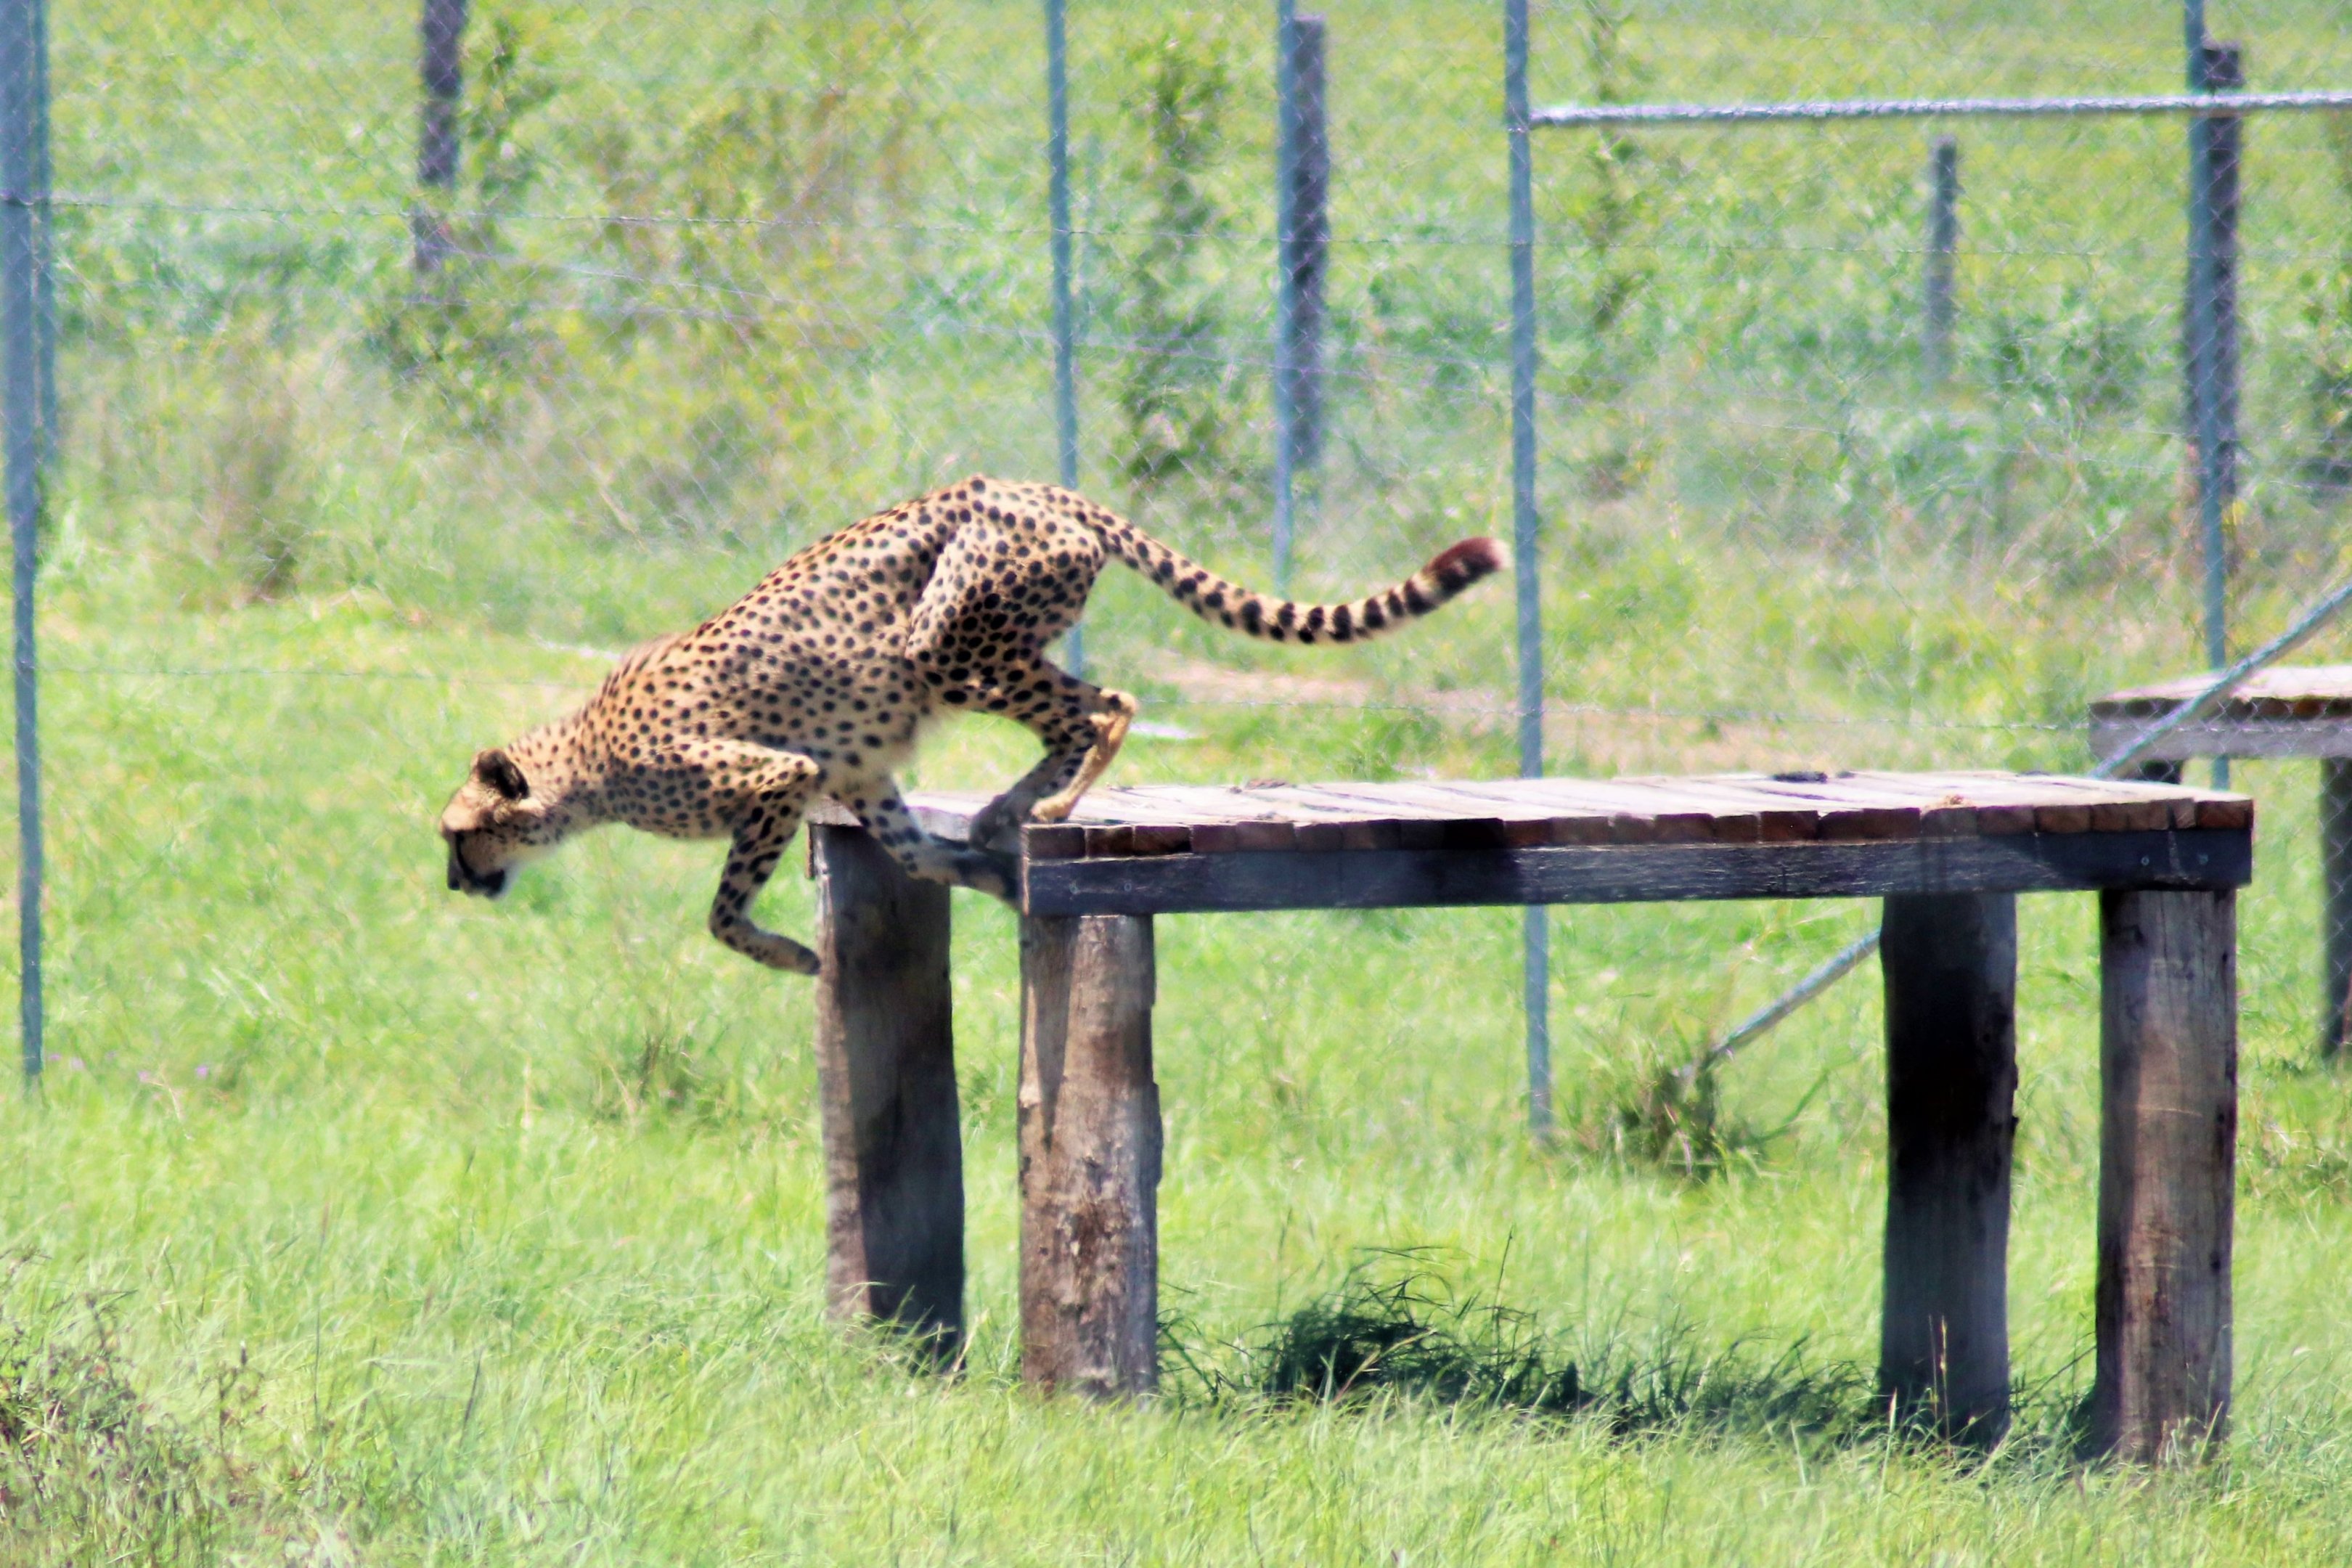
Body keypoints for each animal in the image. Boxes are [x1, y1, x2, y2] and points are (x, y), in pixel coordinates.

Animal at [439, 476, 1502, 974]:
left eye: (458, 835)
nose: (454, 885)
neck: (583, 770)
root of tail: (1039, 488)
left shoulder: (776, 779)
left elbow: (721, 914)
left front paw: (794, 956)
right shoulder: (862, 780)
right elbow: (917, 856)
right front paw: (985, 880)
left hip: (949, 641)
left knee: (1105, 706)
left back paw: (1057, 804)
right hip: (990, 640)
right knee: (1080, 711)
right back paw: (1005, 814)